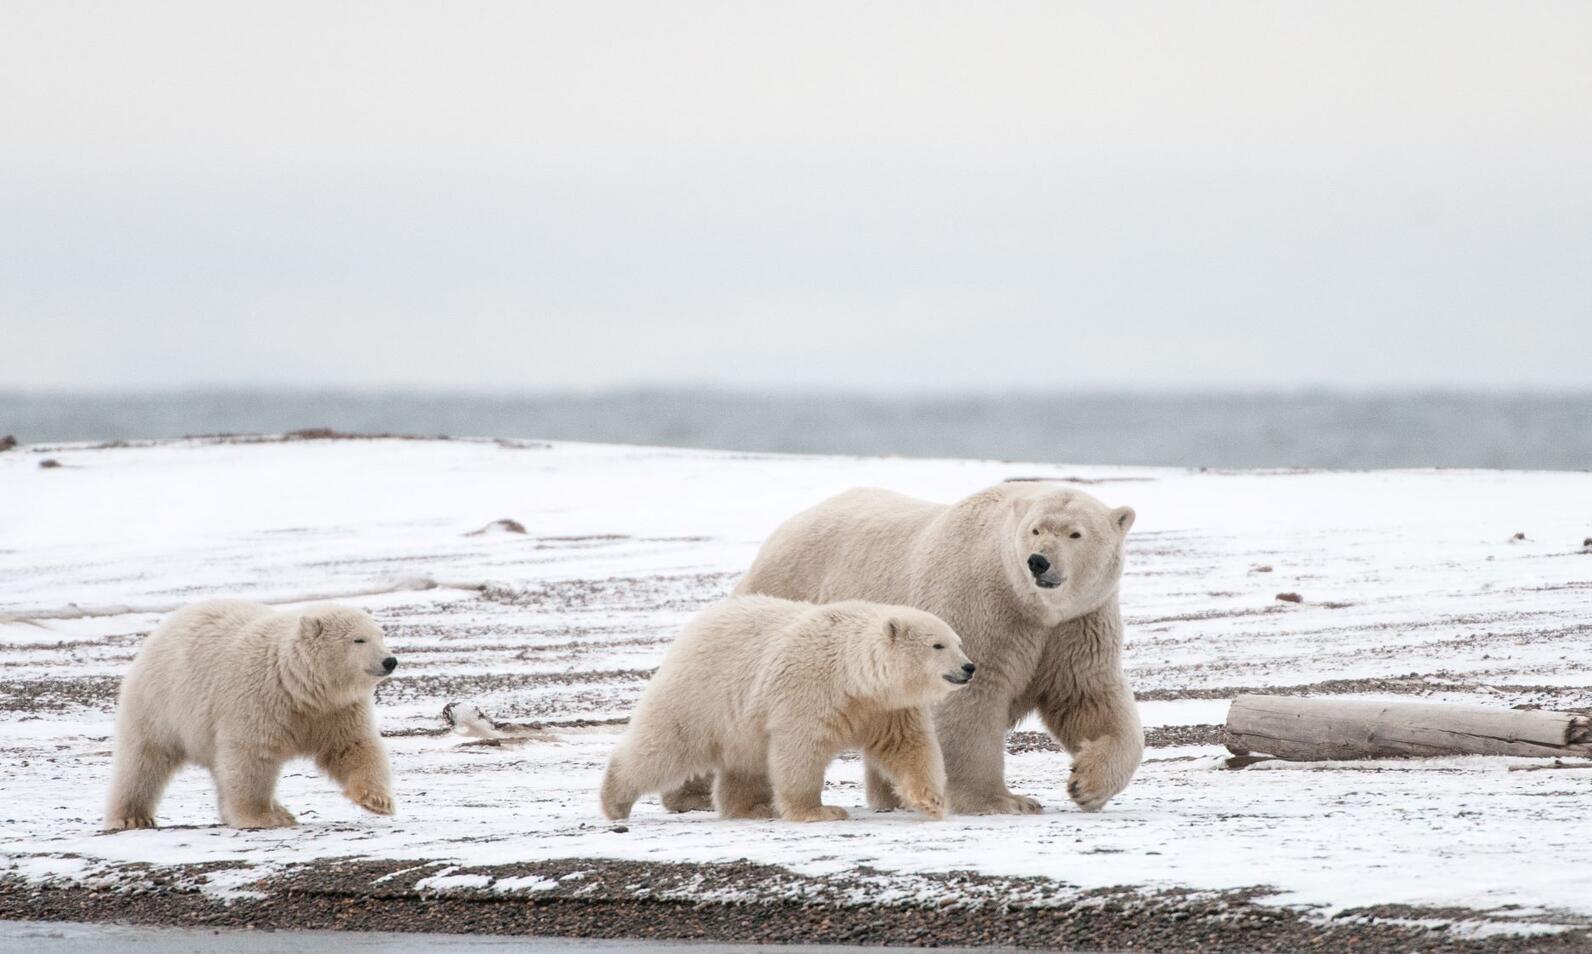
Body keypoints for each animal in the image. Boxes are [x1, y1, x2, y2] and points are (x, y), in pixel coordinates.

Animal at [735, 484, 1146, 812]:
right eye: (1035, 529)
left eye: (1076, 533)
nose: (1038, 561)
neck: (1028, 604)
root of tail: (783, 530)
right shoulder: (980, 606)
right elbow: (969, 701)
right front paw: (1003, 801)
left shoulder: (1076, 624)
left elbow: (1087, 697)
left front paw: (1086, 783)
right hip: (790, 594)